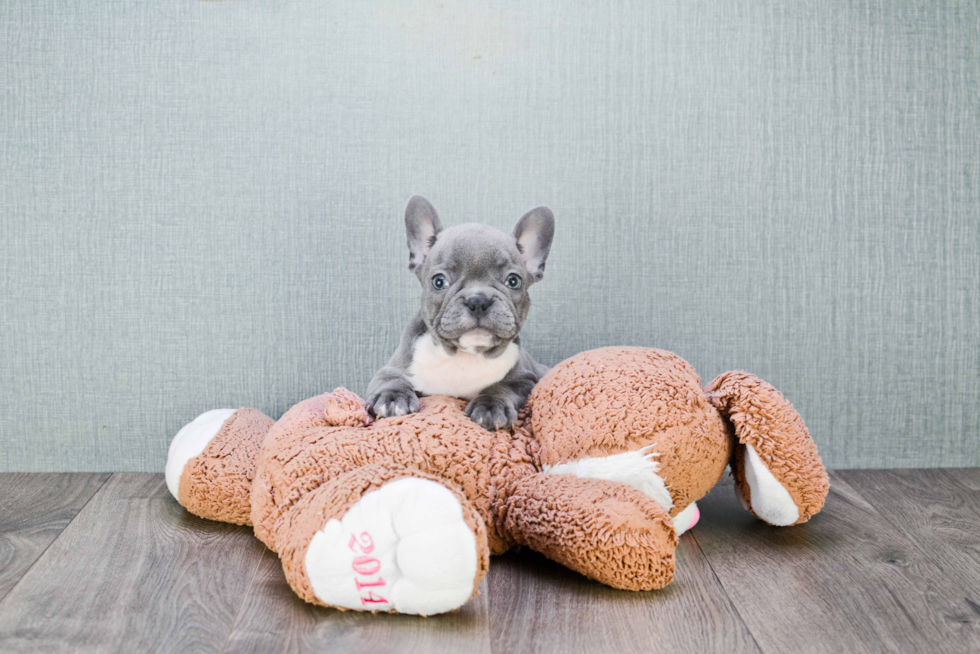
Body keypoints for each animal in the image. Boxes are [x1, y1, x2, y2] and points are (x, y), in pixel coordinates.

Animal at [366, 195, 556, 434]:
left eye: (513, 281)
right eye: (439, 281)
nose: (478, 300)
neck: (466, 355)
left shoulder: (526, 378)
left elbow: (504, 386)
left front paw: (491, 406)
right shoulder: (391, 369)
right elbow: (390, 380)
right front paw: (392, 398)